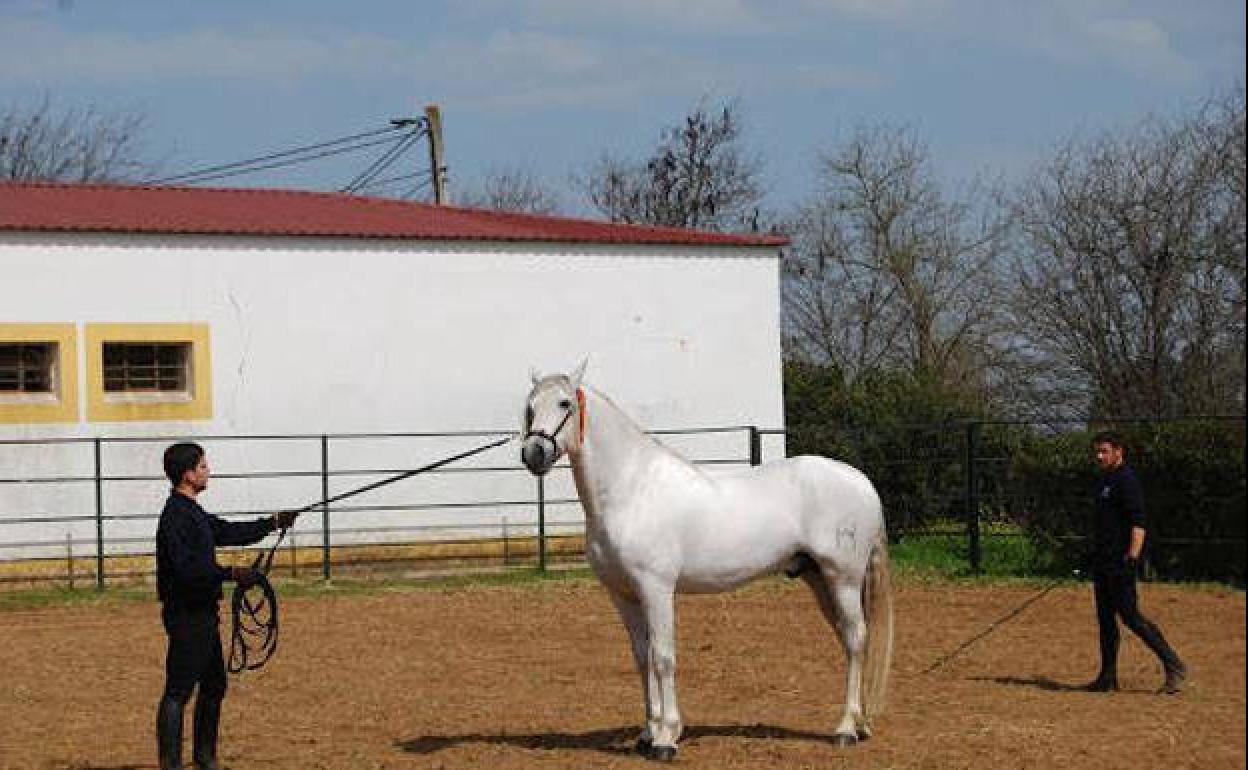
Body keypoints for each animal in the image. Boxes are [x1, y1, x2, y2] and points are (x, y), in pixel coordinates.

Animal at [521, 364, 893, 758]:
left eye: (564, 403)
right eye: (530, 407)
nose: (534, 452)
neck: (632, 491)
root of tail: (861, 481)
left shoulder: (656, 589)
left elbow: (663, 657)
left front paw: (667, 737)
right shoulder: (623, 594)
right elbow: (642, 657)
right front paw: (648, 733)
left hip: (844, 578)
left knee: (856, 638)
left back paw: (846, 729)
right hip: (820, 578)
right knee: (849, 639)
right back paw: (860, 724)